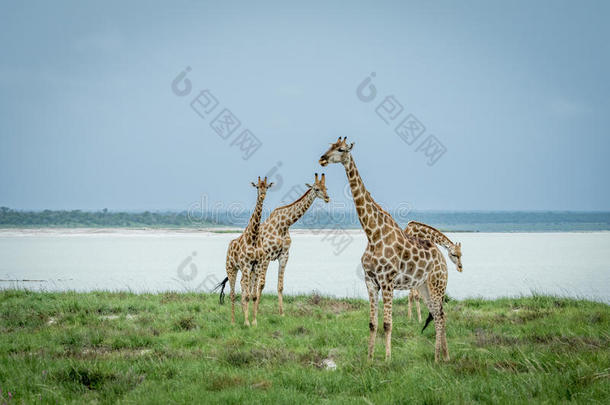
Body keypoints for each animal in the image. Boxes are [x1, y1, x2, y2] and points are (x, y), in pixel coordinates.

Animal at [215, 175, 270, 324]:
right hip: (231, 268)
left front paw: (254, 322)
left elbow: (253, 295)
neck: (254, 237)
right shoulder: (246, 265)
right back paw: (233, 321)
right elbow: (245, 295)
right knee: (233, 294)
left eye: (267, 187)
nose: (262, 195)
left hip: (244, 271)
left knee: (242, 290)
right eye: (257, 187)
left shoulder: (256, 266)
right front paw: (246, 322)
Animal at [247, 174, 330, 326]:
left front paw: (282, 313)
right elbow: (261, 284)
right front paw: (257, 312)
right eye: (316, 189)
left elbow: (280, 286)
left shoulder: (284, 255)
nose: (327, 198)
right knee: (250, 282)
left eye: (325, 187)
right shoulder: (267, 256)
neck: (284, 225)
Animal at [320, 137, 448, 362]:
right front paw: (370, 358)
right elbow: (373, 323)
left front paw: (387, 359)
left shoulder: (387, 282)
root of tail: (443, 259)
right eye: (330, 146)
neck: (372, 234)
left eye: (341, 149)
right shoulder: (371, 281)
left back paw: (437, 358)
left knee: (440, 316)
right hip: (424, 286)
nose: (322, 159)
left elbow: (388, 324)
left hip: (436, 285)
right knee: (438, 314)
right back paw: (444, 356)